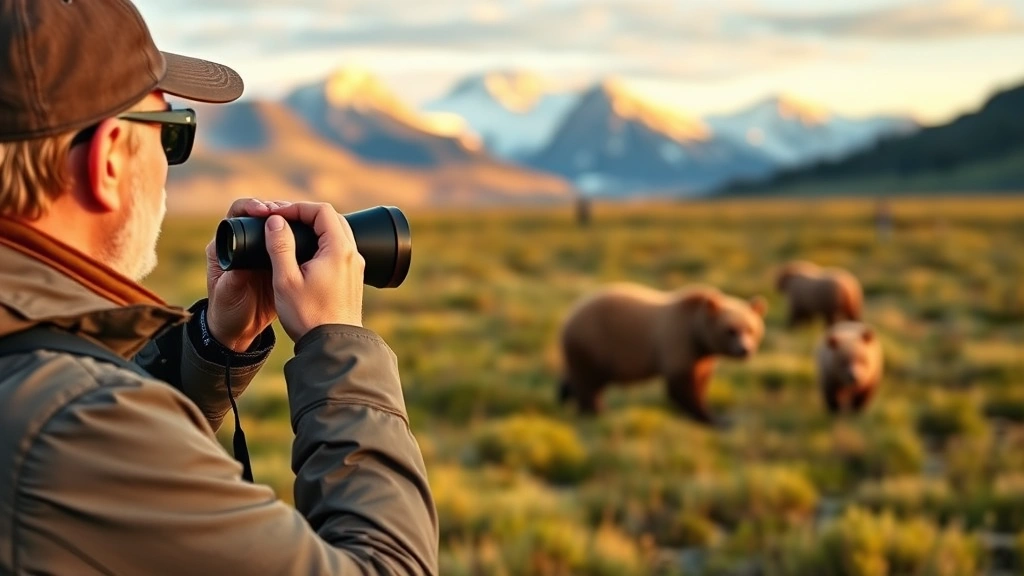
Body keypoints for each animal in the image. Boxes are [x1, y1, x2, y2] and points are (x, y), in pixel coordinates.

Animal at [556, 282, 767, 426]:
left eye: (750, 329)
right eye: (730, 330)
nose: (745, 350)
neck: (698, 335)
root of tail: (569, 315)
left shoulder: (701, 357)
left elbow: (700, 382)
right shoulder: (677, 341)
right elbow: (681, 386)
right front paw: (715, 419)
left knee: (579, 378)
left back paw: (565, 395)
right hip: (593, 343)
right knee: (588, 383)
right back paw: (597, 411)